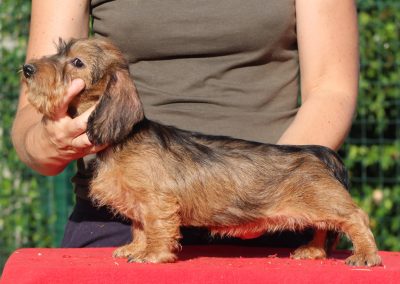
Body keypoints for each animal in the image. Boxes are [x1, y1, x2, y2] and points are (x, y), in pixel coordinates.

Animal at [21, 37, 382, 266]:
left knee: (356, 219)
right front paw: (133, 248)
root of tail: (316, 151)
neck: (124, 138)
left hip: (326, 202)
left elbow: (156, 226)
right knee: (325, 228)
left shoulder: (157, 201)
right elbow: (139, 226)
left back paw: (365, 256)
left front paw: (152, 255)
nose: (27, 69)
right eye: (59, 52)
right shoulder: (140, 203)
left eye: (77, 62)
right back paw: (313, 252)